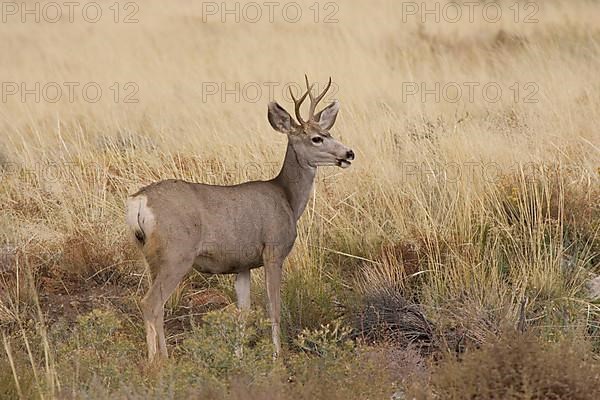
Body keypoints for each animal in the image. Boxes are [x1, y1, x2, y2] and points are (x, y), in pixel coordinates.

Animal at [125, 76, 352, 360]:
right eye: (317, 138)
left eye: (329, 133)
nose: (349, 153)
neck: (287, 198)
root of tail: (139, 201)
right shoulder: (273, 250)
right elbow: (274, 307)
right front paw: (277, 357)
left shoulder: (242, 265)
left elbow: (243, 312)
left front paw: (238, 356)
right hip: (176, 253)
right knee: (151, 303)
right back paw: (159, 362)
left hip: (150, 257)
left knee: (156, 305)